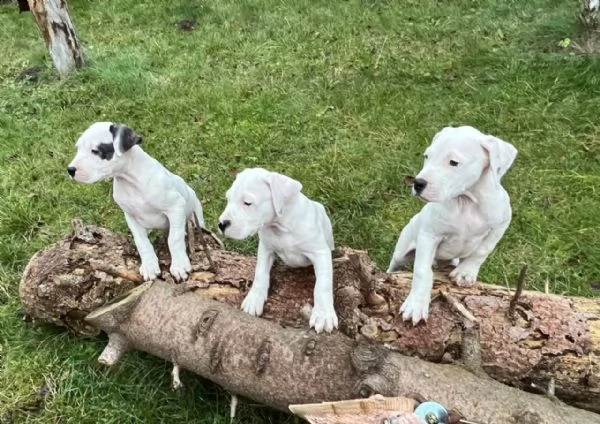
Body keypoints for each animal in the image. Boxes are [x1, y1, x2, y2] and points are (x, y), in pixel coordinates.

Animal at [67, 121, 216, 282]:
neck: (130, 181)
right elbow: (142, 242)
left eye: (95, 151)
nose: (70, 170)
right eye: (78, 148)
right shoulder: (130, 216)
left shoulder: (175, 207)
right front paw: (150, 265)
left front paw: (179, 265)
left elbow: (174, 238)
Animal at [217, 167, 340, 332]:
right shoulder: (265, 248)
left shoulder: (320, 252)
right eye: (228, 198)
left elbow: (323, 285)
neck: (280, 227)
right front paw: (254, 298)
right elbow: (260, 273)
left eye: (247, 203)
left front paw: (323, 314)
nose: (221, 224)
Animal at [386, 126, 516, 324]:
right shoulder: (429, 235)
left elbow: (482, 250)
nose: (417, 183)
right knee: (394, 265)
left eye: (453, 162)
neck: (466, 201)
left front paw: (466, 272)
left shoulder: (501, 224)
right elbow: (422, 271)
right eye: (427, 156)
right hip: (401, 252)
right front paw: (416, 304)